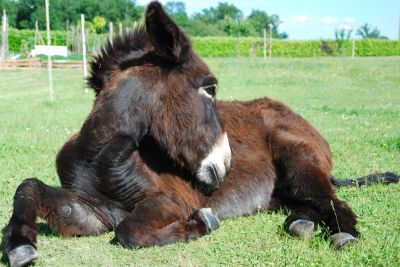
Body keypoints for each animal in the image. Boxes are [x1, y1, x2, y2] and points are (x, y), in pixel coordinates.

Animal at [4, 1, 398, 266]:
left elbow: (127, 231)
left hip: (299, 158)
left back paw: (342, 232)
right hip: (279, 192)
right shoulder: (87, 211)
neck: (101, 159)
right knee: (309, 201)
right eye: (210, 88)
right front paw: (19, 245)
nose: (226, 164)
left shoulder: (166, 201)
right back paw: (300, 223)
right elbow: (29, 187)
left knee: (330, 199)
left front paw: (201, 224)